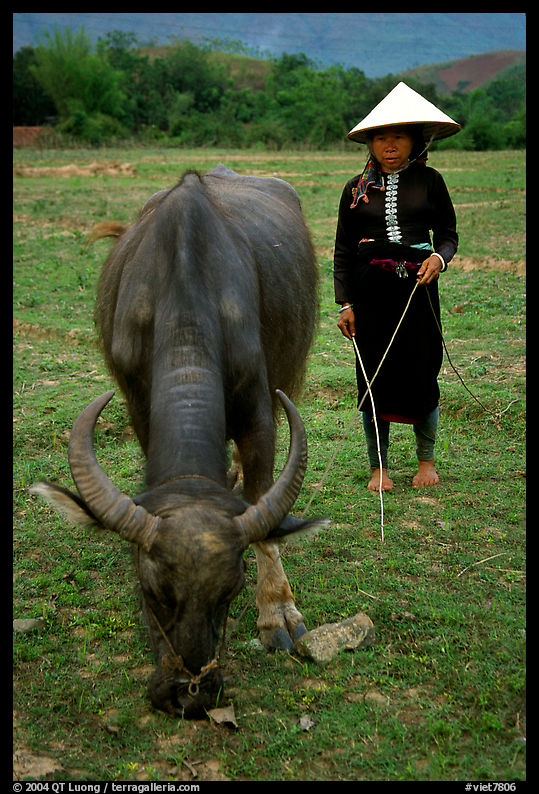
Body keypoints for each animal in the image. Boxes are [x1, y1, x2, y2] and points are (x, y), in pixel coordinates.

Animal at [32, 165, 327, 718]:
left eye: (232, 590)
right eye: (149, 589)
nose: (189, 696)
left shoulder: (259, 409)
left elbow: (262, 499)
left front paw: (277, 612)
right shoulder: (137, 402)